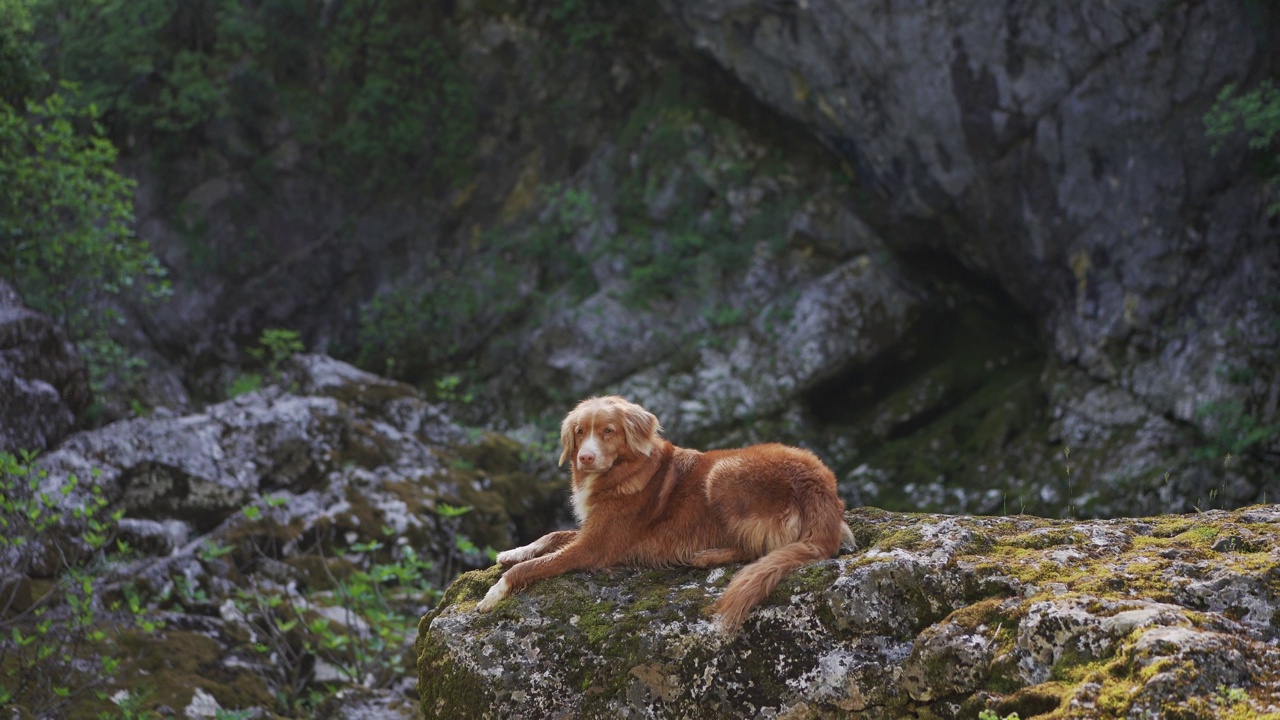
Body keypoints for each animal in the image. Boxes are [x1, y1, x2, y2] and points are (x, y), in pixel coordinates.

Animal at [476, 392, 855, 627]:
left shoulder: (595, 546)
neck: (624, 472)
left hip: (722, 471)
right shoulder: (594, 530)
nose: (585, 457)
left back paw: (707, 555)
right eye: (580, 432)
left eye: (608, 431)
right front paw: (513, 551)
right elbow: (552, 535)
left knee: (759, 548)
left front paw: (494, 593)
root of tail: (818, 482)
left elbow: (532, 567)